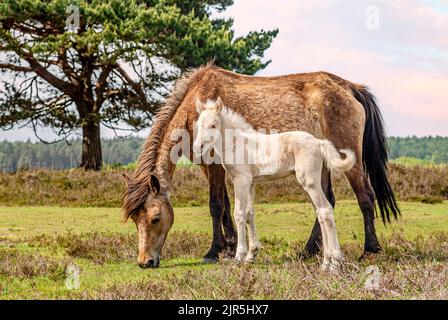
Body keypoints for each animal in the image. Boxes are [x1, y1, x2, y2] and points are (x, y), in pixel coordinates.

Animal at [194, 97, 356, 272]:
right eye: (198, 125)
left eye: (214, 124)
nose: (198, 147)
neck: (237, 144)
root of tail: (319, 143)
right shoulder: (251, 183)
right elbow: (250, 214)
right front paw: (251, 256)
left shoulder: (241, 180)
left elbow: (239, 214)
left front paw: (238, 258)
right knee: (320, 213)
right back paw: (326, 263)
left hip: (309, 181)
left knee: (326, 210)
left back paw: (335, 263)